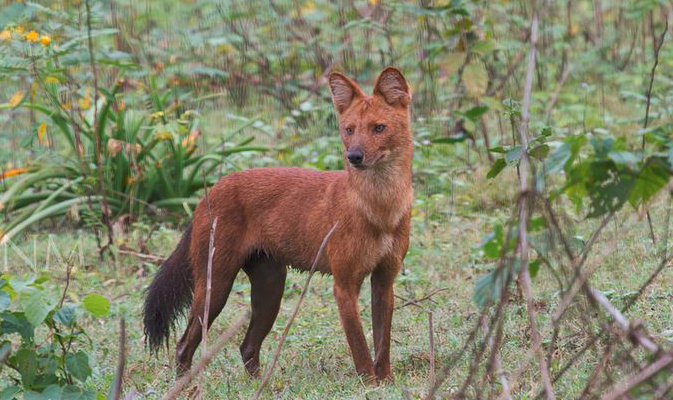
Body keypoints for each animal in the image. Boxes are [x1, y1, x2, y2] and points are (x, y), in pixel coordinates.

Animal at [143, 67, 414, 382]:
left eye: (379, 128)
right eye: (349, 129)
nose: (354, 156)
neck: (380, 208)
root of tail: (210, 192)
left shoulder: (384, 280)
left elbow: (382, 344)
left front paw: (386, 382)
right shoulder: (344, 285)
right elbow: (359, 344)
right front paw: (369, 383)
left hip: (271, 286)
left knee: (247, 346)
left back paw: (261, 385)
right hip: (216, 285)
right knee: (184, 343)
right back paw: (186, 385)